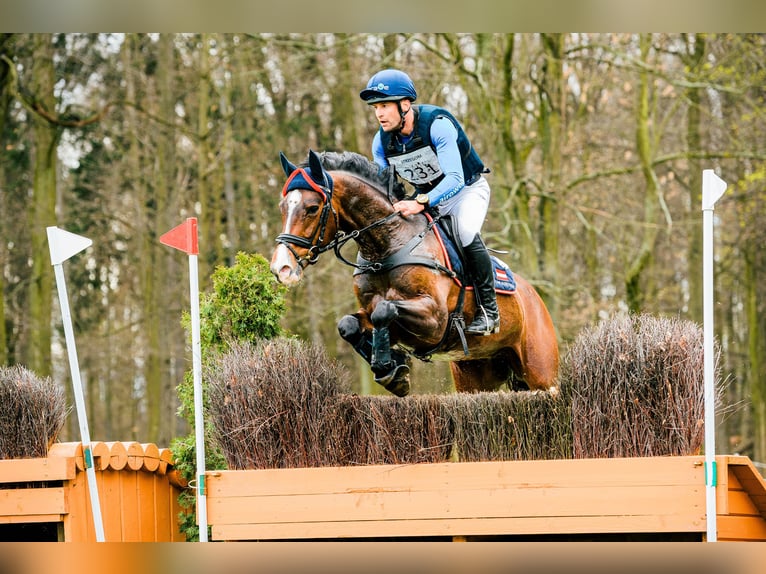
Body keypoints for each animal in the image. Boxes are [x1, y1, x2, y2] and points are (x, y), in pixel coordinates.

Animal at [270, 151, 560, 398]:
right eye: (282, 206)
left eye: (312, 208)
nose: (281, 268)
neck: (386, 246)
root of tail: (534, 296)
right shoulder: (376, 314)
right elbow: (349, 324)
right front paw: (394, 369)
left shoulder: (435, 320)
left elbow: (384, 311)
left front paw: (390, 367)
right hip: (476, 373)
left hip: (541, 372)